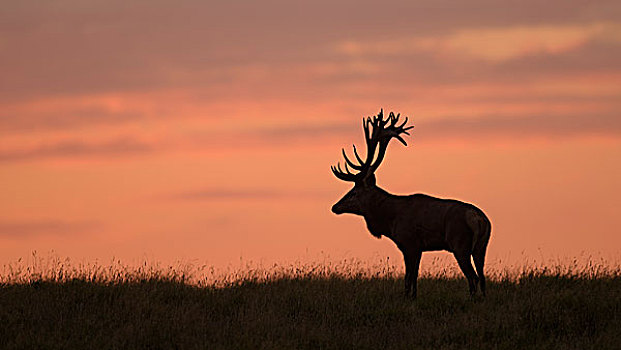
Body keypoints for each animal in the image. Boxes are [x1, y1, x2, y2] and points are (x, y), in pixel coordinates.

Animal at [330, 109, 490, 298]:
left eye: (353, 192)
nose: (335, 207)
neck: (390, 220)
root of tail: (479, 219)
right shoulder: (418, 248)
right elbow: (414, 278)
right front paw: (413, 297)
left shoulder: (408, 243)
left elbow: (408, 278)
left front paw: (407, 298)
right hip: (481, 247)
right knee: (483, 277)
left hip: (460, 244)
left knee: (473, 277)